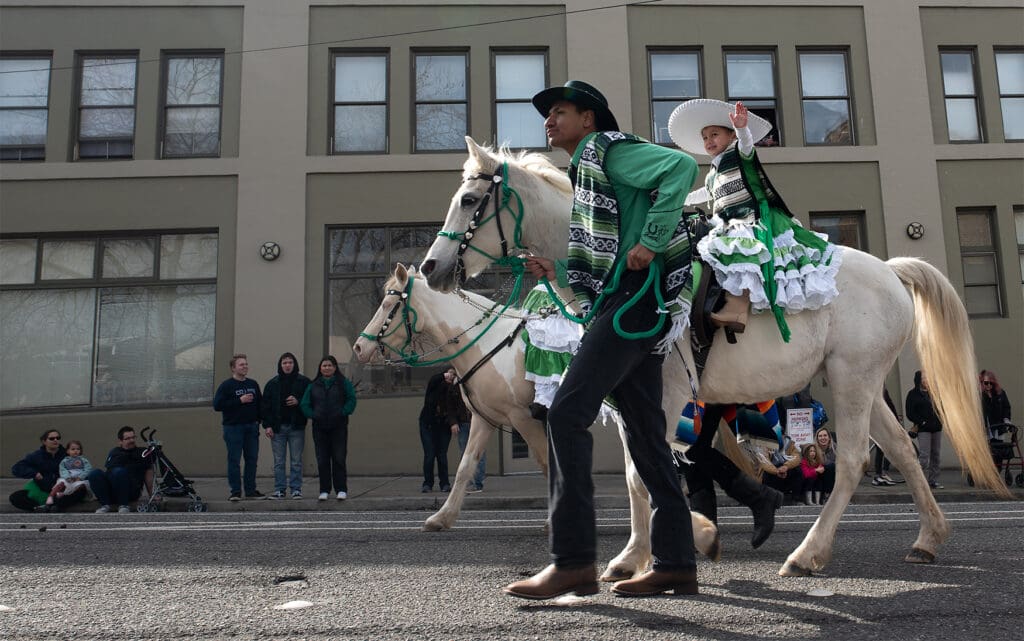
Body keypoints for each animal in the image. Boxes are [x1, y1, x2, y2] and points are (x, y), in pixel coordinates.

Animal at [352, 262, 720, 557]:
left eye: (389, 304)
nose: (358, 347)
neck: (486, 345)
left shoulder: (523, 418)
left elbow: (546, 465)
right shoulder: (484, 420)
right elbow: (465, 467)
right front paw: (442, 517)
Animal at [417, 137, 1007, 577]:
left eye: (469, 201)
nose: (430, 267)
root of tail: (891, 269)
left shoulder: (664, 393)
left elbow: (643, 472)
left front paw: (652, 551)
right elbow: (639, 471)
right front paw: (643, 552)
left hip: (852, 379)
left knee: (855, 461)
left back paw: (809, 553)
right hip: (863, 381)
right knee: (903, 451)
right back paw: (928, 539)